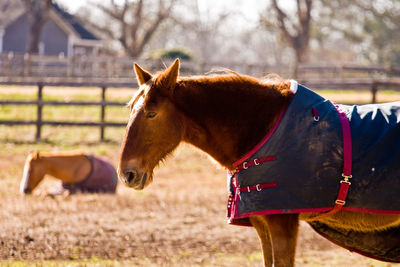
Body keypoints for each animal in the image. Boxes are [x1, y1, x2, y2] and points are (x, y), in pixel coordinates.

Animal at [118, 59, 400, 266]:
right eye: (130, 108)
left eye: (152, 113)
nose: (126, 174)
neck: (266, 130)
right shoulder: (262, 224)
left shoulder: (283, 224)